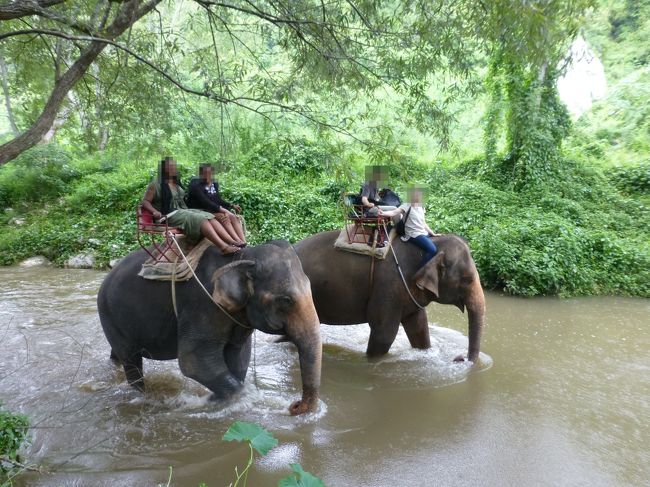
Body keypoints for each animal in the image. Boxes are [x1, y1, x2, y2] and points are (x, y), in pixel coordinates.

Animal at [98, 240, 322, 416]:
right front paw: (238, 399)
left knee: (120, 356)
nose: (295, 405)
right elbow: (193, 362)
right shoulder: (203, 304)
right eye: (286, 300)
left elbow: (238, 357)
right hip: (109, 315)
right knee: (132, 362)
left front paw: (216, 399)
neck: (242, 257)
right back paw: (141, 396)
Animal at [292, 232, 480, 362]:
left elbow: (419, 327)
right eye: (467, 280)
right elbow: (384, 334)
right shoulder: (388, 286)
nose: (460, 358)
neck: (429, 248)